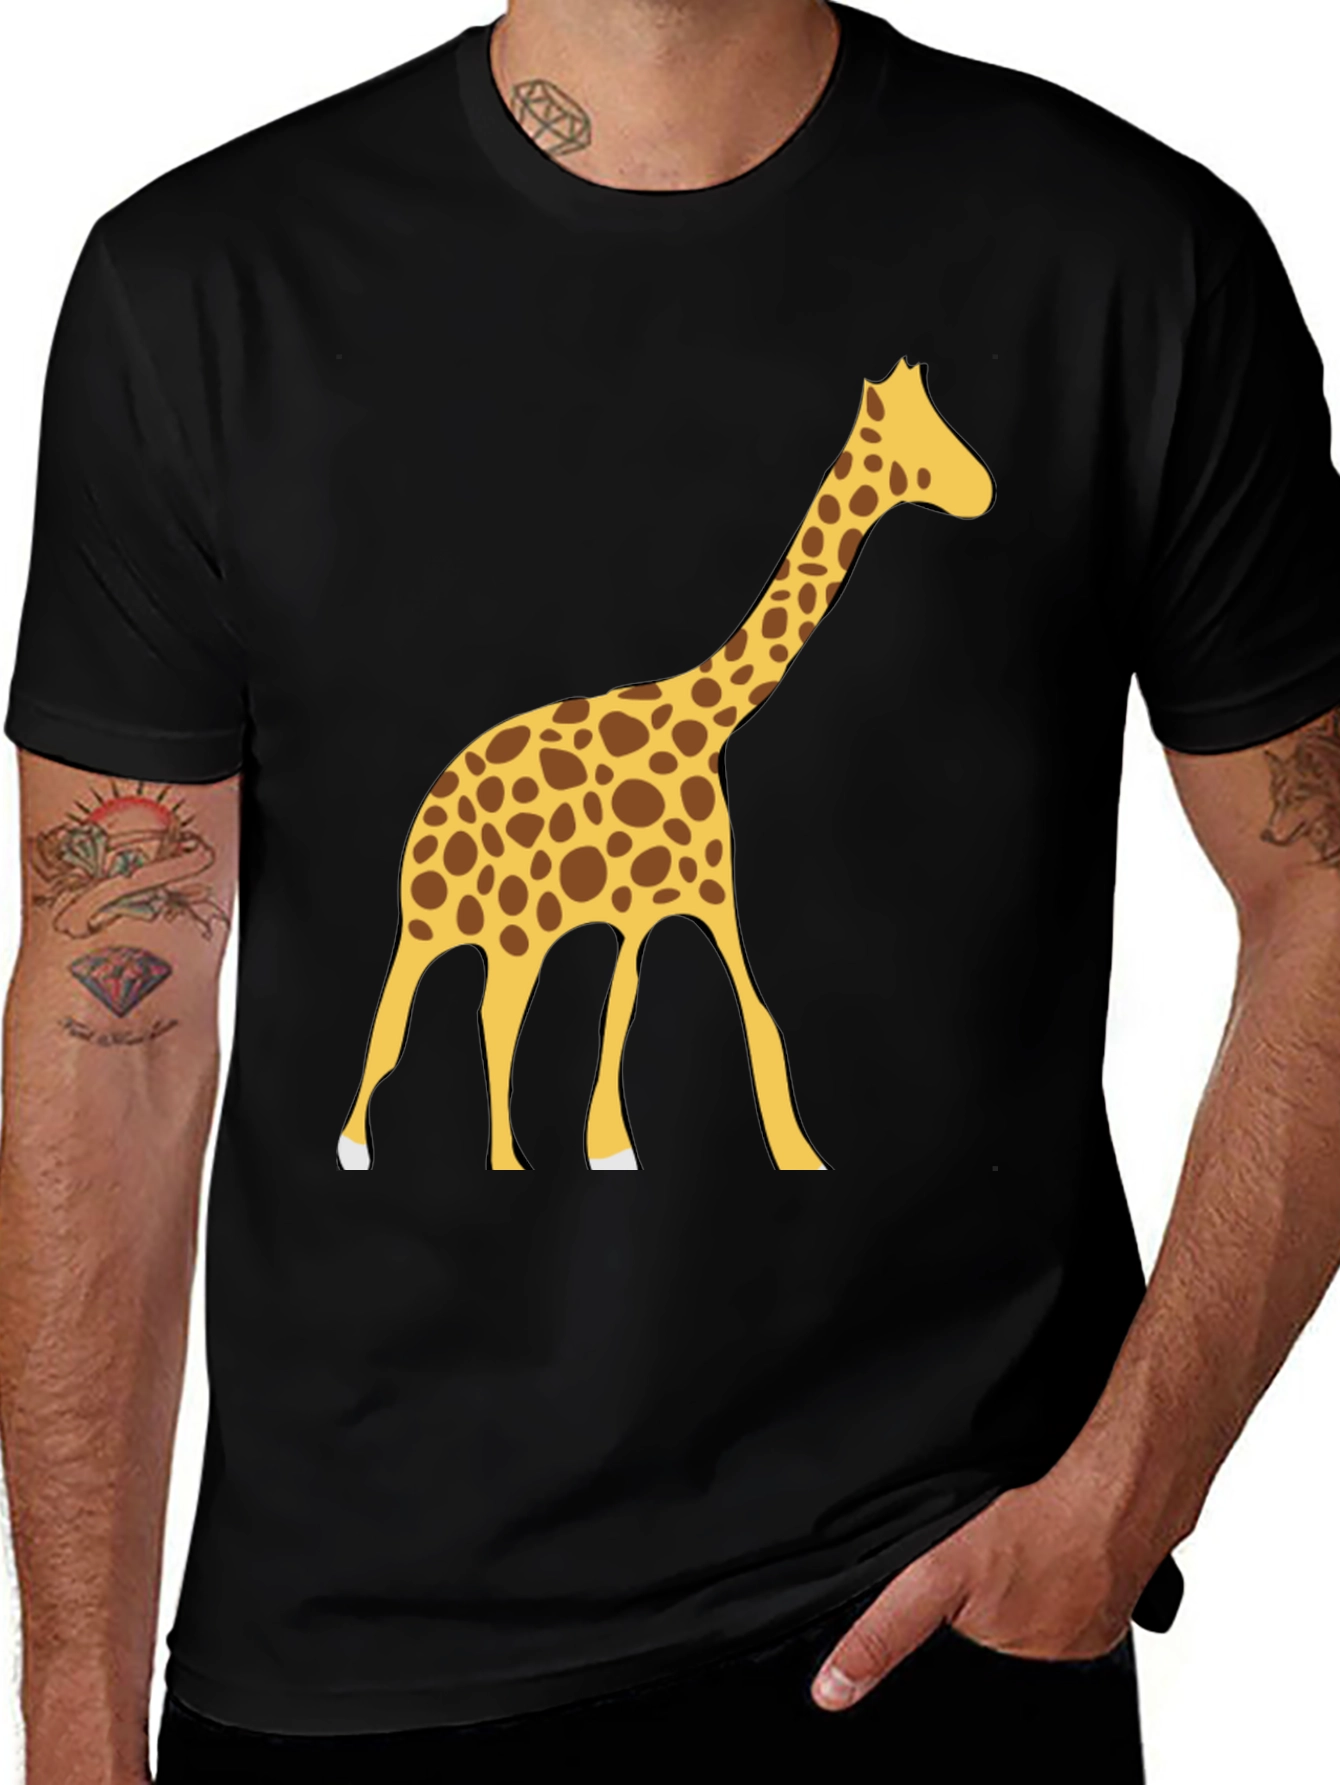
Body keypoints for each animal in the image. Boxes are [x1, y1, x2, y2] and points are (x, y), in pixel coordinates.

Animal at [338, 360, 993, 1172]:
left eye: (938, 418)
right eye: (914, 436)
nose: (985, 489)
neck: (708, 720)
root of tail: (430, 807)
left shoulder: (684, 900)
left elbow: (710, 1012)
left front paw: (755, 1150)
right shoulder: (661, 904)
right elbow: (661, 1012)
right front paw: (629, 1146)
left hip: (485, 931)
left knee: (449, 1012)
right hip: (473, 925)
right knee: (444, 1014)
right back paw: (407, 1150)